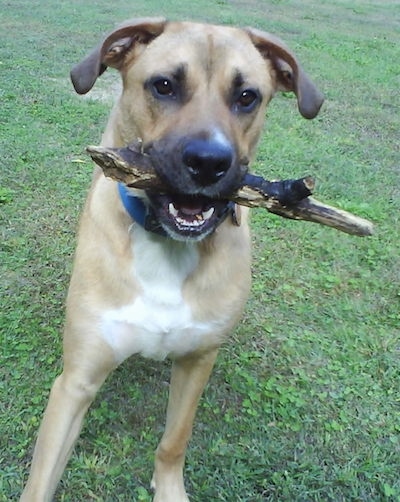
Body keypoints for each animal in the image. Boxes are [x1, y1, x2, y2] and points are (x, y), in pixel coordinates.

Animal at [20, 16, 324, 502]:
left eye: (247, 96)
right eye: (164, 86)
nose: (209, 162)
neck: (165, 244)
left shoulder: (199, 359)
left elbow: (174, 440)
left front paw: (168, 487)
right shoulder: (75, 382)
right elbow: (41, 478)